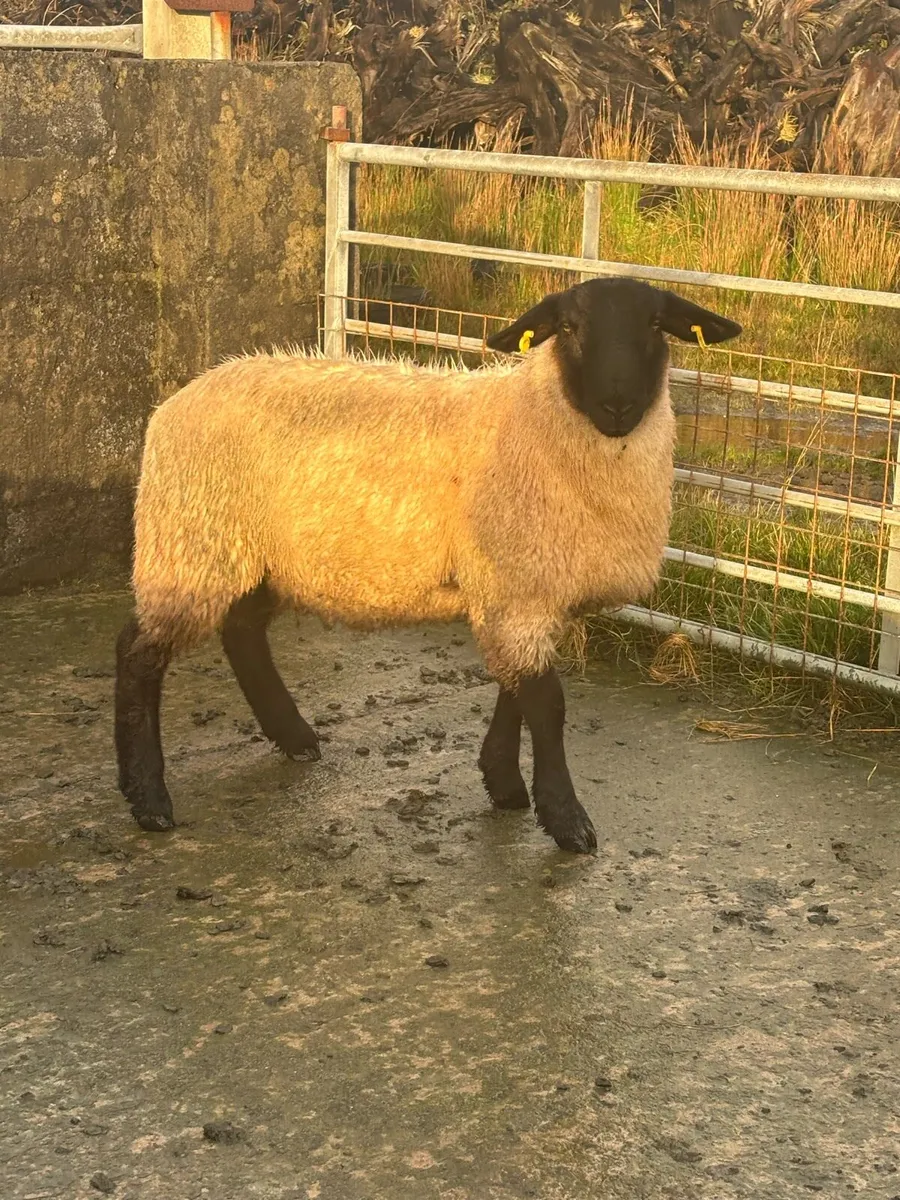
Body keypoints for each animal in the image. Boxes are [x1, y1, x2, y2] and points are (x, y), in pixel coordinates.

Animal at [114, 277, 741, 854]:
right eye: (567, 327)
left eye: (657, 325)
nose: (617, 405)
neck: (537, 417)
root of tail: (177, 401)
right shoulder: (515, 582)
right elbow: (547, 704)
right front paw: (566, 821)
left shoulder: (517, 586)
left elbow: (516, 690)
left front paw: (503, 782)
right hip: (189, 542)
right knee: (139, 653)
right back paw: (148, 799)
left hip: (255, 556)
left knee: (242, 634)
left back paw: (293, 737)